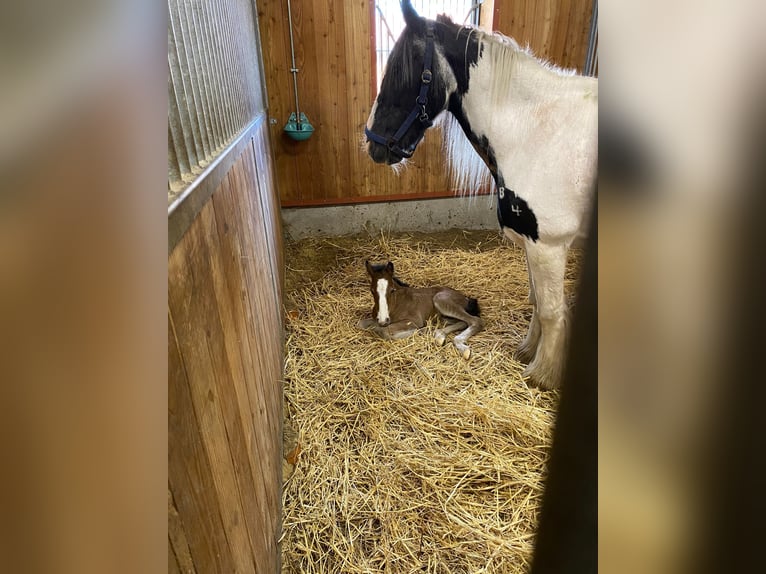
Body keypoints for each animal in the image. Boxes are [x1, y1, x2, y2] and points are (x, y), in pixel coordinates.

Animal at [356, 262, 484, 360]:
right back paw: (439, 336)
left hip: (441, 299)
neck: (395, 304)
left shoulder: (413, 321)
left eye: (392, 290)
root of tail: (466, 298)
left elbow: (383, 331)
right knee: (463, 322)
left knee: (475, 321)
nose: (383, 320)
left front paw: (420, 331)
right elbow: (361, 324)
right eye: (372, 290)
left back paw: (462, 348)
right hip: (442, 317)